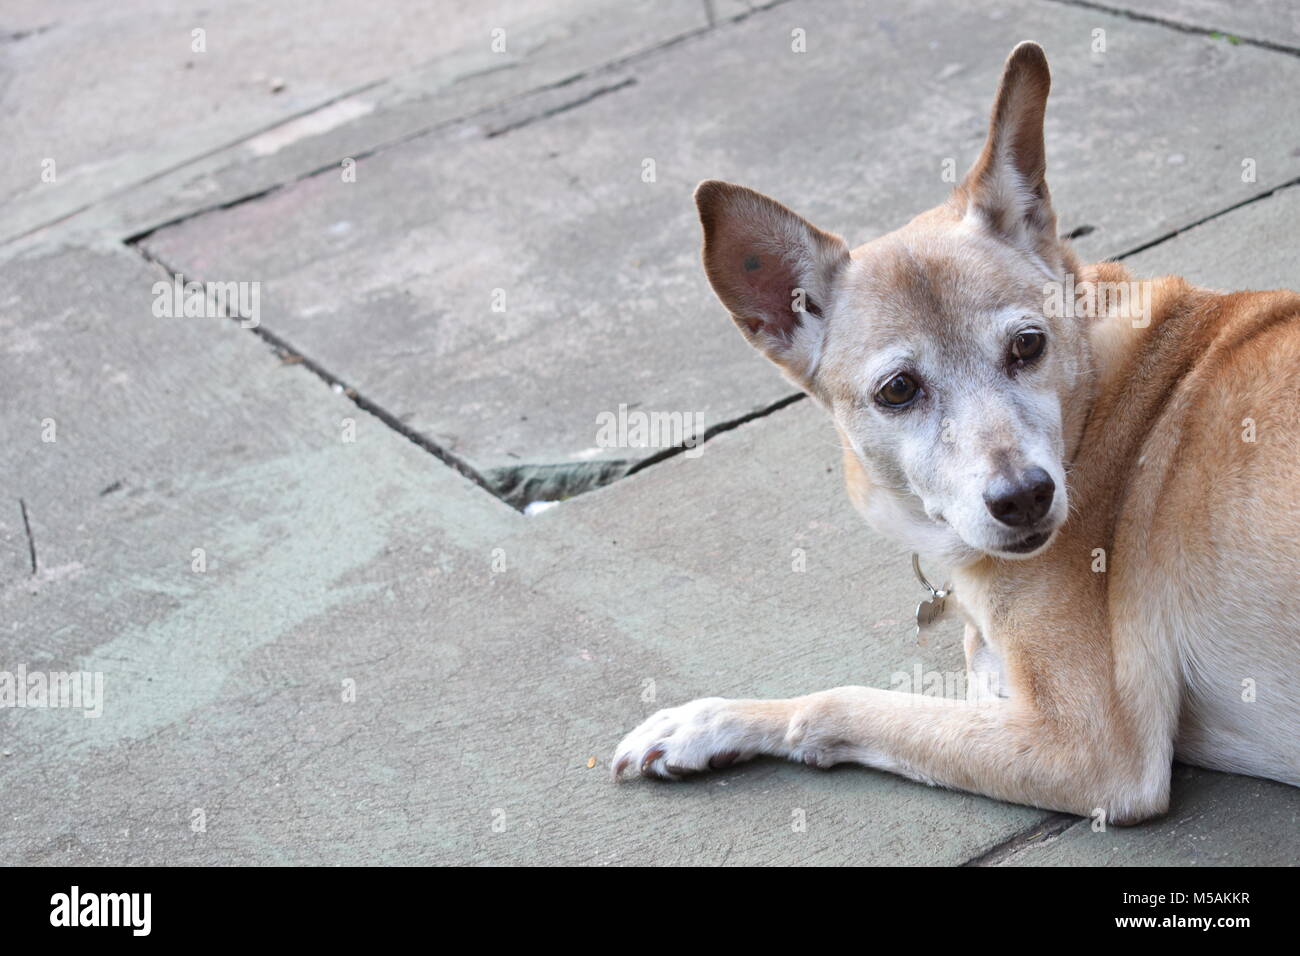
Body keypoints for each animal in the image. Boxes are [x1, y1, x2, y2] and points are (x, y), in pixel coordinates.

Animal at [611, 42, 1300, 822]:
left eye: (1028, 346)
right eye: (899, 390)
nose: (1024, 498)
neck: (1094, 405)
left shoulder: (1091, 749)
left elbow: (845, 704)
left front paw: (710, 721)